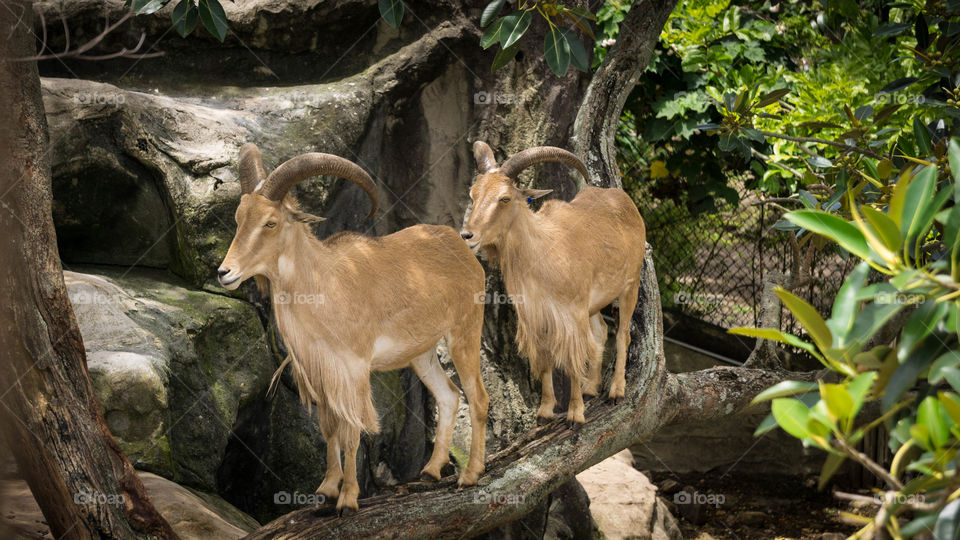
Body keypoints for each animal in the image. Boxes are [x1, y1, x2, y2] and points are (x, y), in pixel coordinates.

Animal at [218, 143, 489, 515]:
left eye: (270, 222)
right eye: (237, 219)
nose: (224, 273)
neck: (323, 284)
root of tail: (462, 247)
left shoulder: (354, 369)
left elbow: (351, 430)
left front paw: (347, 499)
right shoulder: (322, 371)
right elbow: (330, 428)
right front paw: (325, 491)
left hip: (465, 333)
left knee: (478, 397)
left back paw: (471, 474)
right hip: (421, 352)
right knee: (449, 395)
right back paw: (431, 471)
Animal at [460, 142, 646, 427]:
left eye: (505, 198)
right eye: (473, 194)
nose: (467, 235)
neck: (541, 254)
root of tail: (625, 202)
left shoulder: (570, 316)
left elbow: (571, 363)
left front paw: (575, 415)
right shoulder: (538, 318)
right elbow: (546, 360)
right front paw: (545, 411)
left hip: (630, 286)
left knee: (622, 334)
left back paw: (616, 391)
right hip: (593, 305)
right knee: (601, 332)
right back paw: (591, 388)